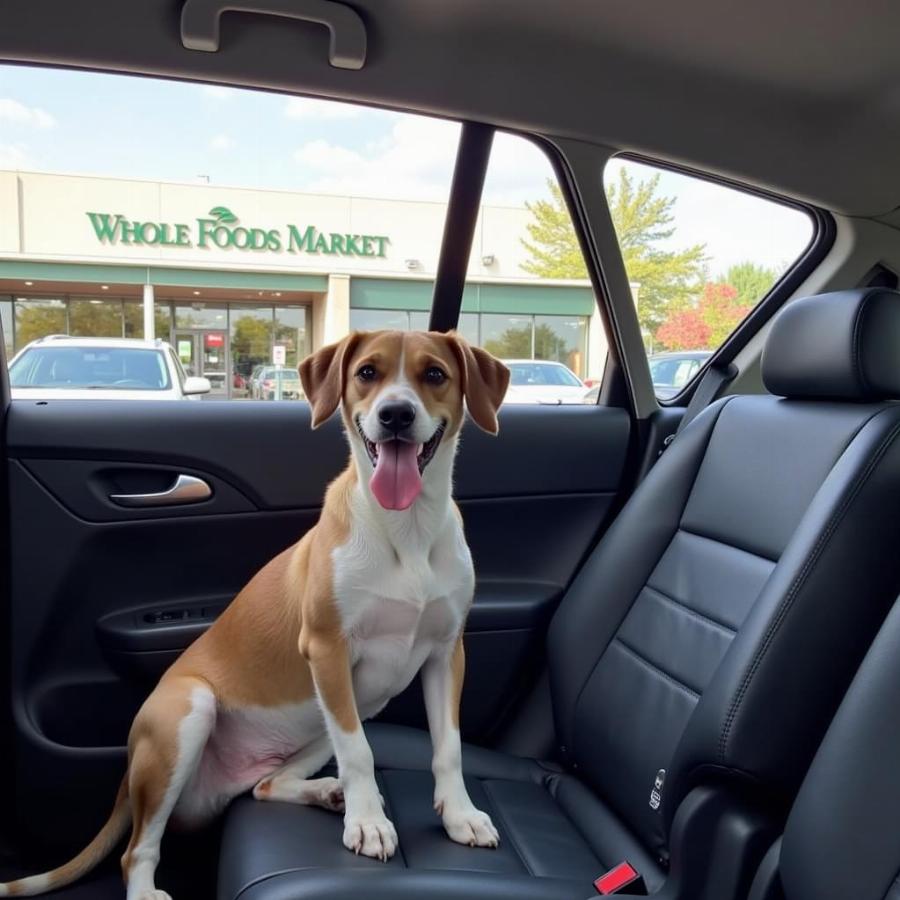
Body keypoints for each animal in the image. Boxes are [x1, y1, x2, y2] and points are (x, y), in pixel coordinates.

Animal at [0, 330, 510, 900]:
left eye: (435, 374)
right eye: (367, 373)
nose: (395, 415)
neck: (408, 529)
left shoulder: (446, 654)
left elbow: (448, 746)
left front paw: (459, 815)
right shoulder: (327, 650)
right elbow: (359, 755)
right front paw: (368, 822)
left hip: (330, 720)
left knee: (267, 785)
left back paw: (325, 792)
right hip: (191, 714)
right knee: (137, 851)